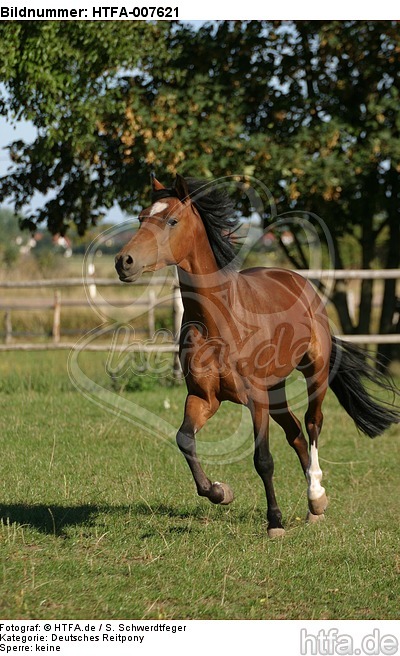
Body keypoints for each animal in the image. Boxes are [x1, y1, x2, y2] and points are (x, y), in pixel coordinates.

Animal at [115, 174, 399, 537]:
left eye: (171, 220)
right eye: (140, 218)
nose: (124, 262)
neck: (219, 322)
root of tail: (299, 282)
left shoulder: (256, 399)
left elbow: (263, 459)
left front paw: (274, 522)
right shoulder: (204, 397)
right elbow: (184, 440)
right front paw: (219, 492)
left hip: (314, 373)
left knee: (312, 423)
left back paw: (316, 494)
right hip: (276, 389)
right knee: (295, 433)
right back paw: (315, 508)